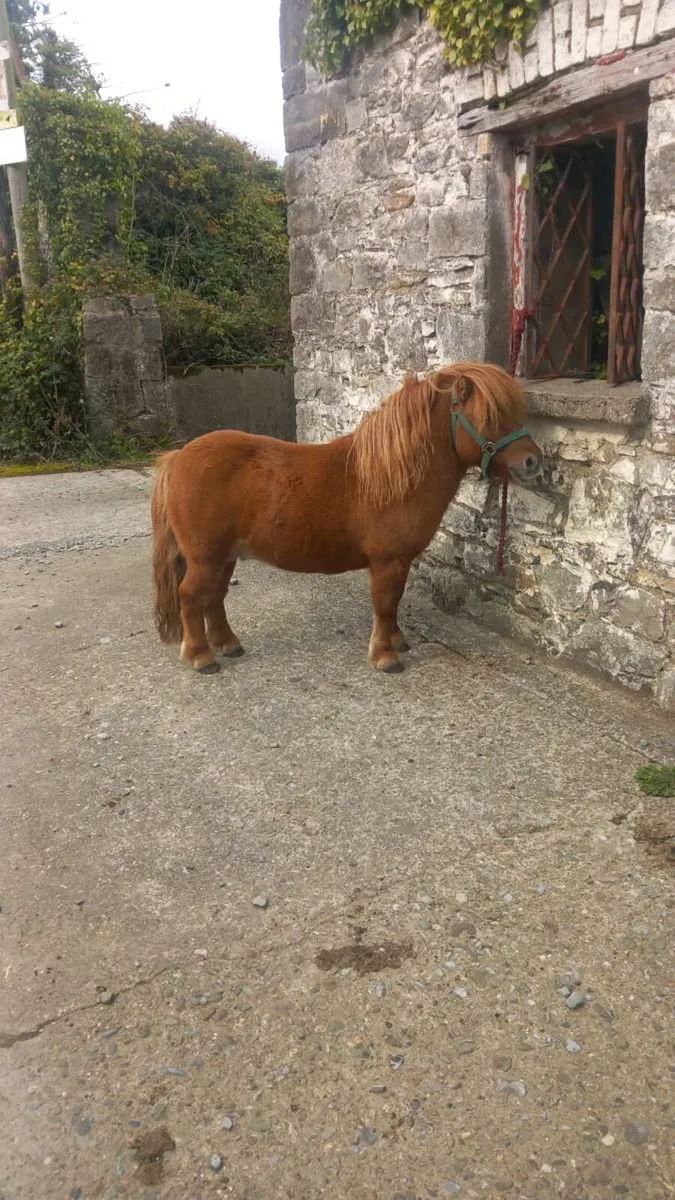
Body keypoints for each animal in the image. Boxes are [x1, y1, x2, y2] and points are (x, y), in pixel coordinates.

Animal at [151, 361, 542, 676]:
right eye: (491, 417)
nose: (533, 462)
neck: (395, 473)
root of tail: (178, 457)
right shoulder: (388, 561)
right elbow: (384, 604)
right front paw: (385, 657)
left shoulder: (398, 562)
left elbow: (394, 604)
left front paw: (397, 641)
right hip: (206, 558)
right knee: (192, 597)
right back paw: (201, 657)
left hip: (225, 556)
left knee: (214, 598)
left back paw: (228, 643)